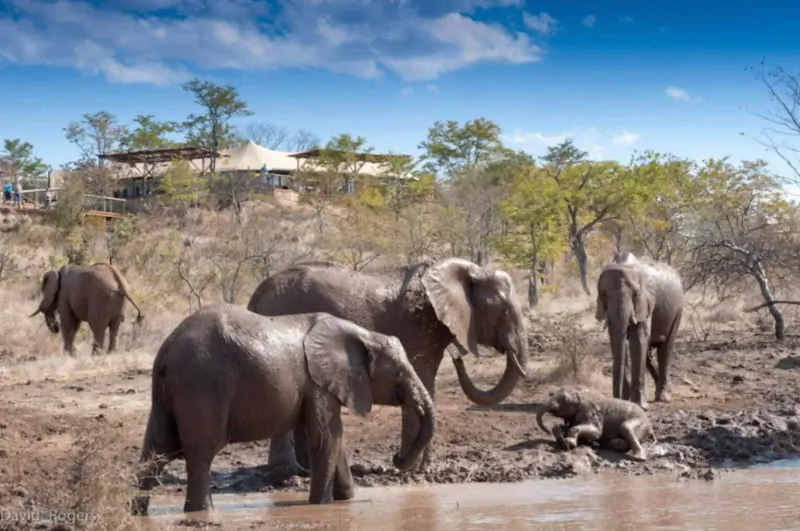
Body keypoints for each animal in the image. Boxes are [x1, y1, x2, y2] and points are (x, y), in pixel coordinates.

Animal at [132, 303, 435, 514]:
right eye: (398, 372)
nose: (397, 459)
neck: (362, 335)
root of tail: (165, 353)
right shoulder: (319, 383)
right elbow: (325, 437)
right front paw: (321, 506)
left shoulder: (320, 385)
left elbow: (336, 438)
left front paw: (346, 501)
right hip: (203, 384)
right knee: (201, 452)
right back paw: (202, 512)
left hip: (169, 391)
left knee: (157, 449)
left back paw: (137, 512)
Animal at [246, 258, 529, 476]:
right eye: (504, 312)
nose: (457, 358)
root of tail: (256, 295)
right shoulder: (417, 326)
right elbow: (421, 380)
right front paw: (411, 470)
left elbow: (427, 386)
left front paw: (423, 470)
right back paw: (286, 473)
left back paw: (303, 470)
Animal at [595, 252, 683, 411]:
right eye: (603, 294)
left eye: (636, 294)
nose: (616, 399)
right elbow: (616, 339)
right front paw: (626, 401)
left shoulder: (646, 300)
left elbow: (639, 339)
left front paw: (640, 406)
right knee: (649, 355)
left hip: (678, 310)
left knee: (666, 348)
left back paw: (663, 397)